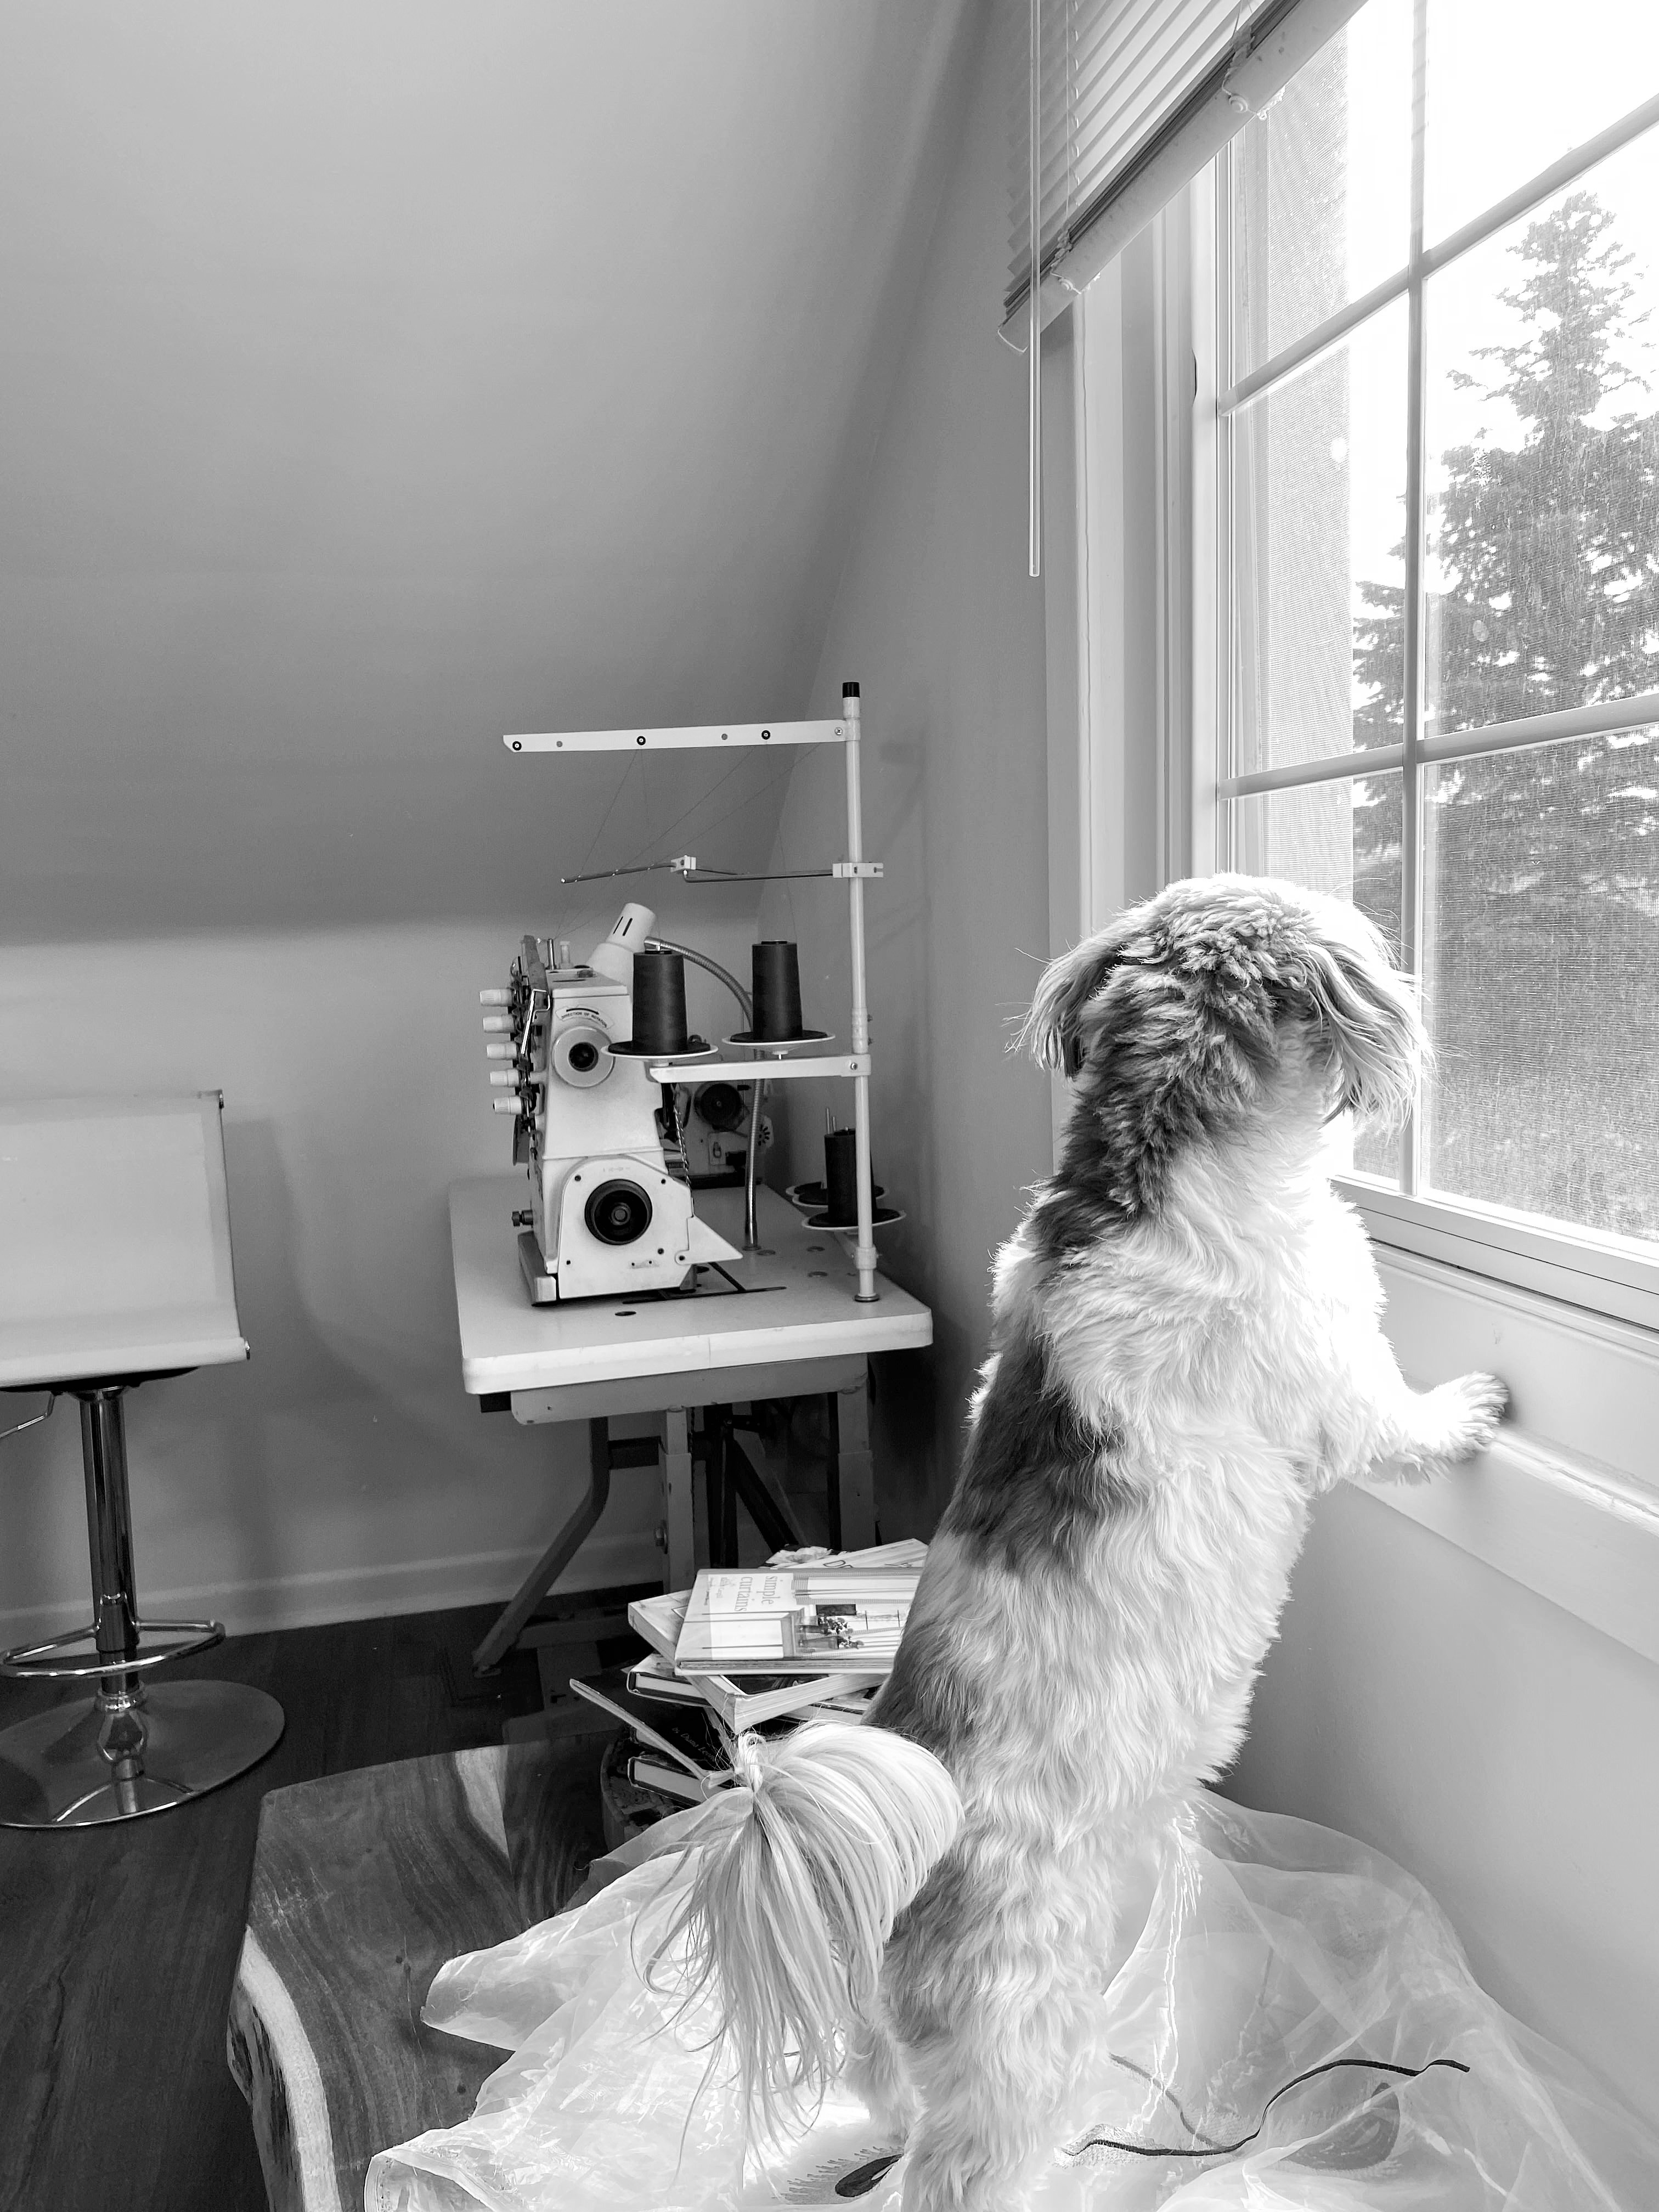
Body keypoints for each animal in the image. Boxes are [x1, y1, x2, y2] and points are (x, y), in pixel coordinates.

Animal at [668, 875, 1507, 2211]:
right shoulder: (1331, 1356)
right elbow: (1395, 1425)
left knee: (882, 2092)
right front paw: (1470, 1408)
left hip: (905, 2040)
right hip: (1018, 2026)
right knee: (957, 2168)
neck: (1151, 1171)